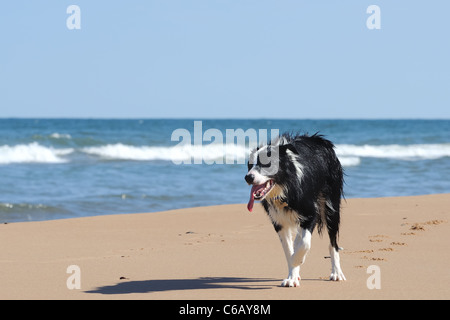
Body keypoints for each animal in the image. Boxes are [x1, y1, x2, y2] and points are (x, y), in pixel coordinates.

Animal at [246, 131, 344, 286]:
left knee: (332, 243)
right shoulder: (279, 221)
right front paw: (292, 276)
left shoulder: (311, 213)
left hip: (331, 207)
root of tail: (320, 140)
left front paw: (297, 261)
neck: (286, 185)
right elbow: (289, 249)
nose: (248, 177)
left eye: (267, 163)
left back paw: (336, 273)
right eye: (249, 165)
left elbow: (304, 244)